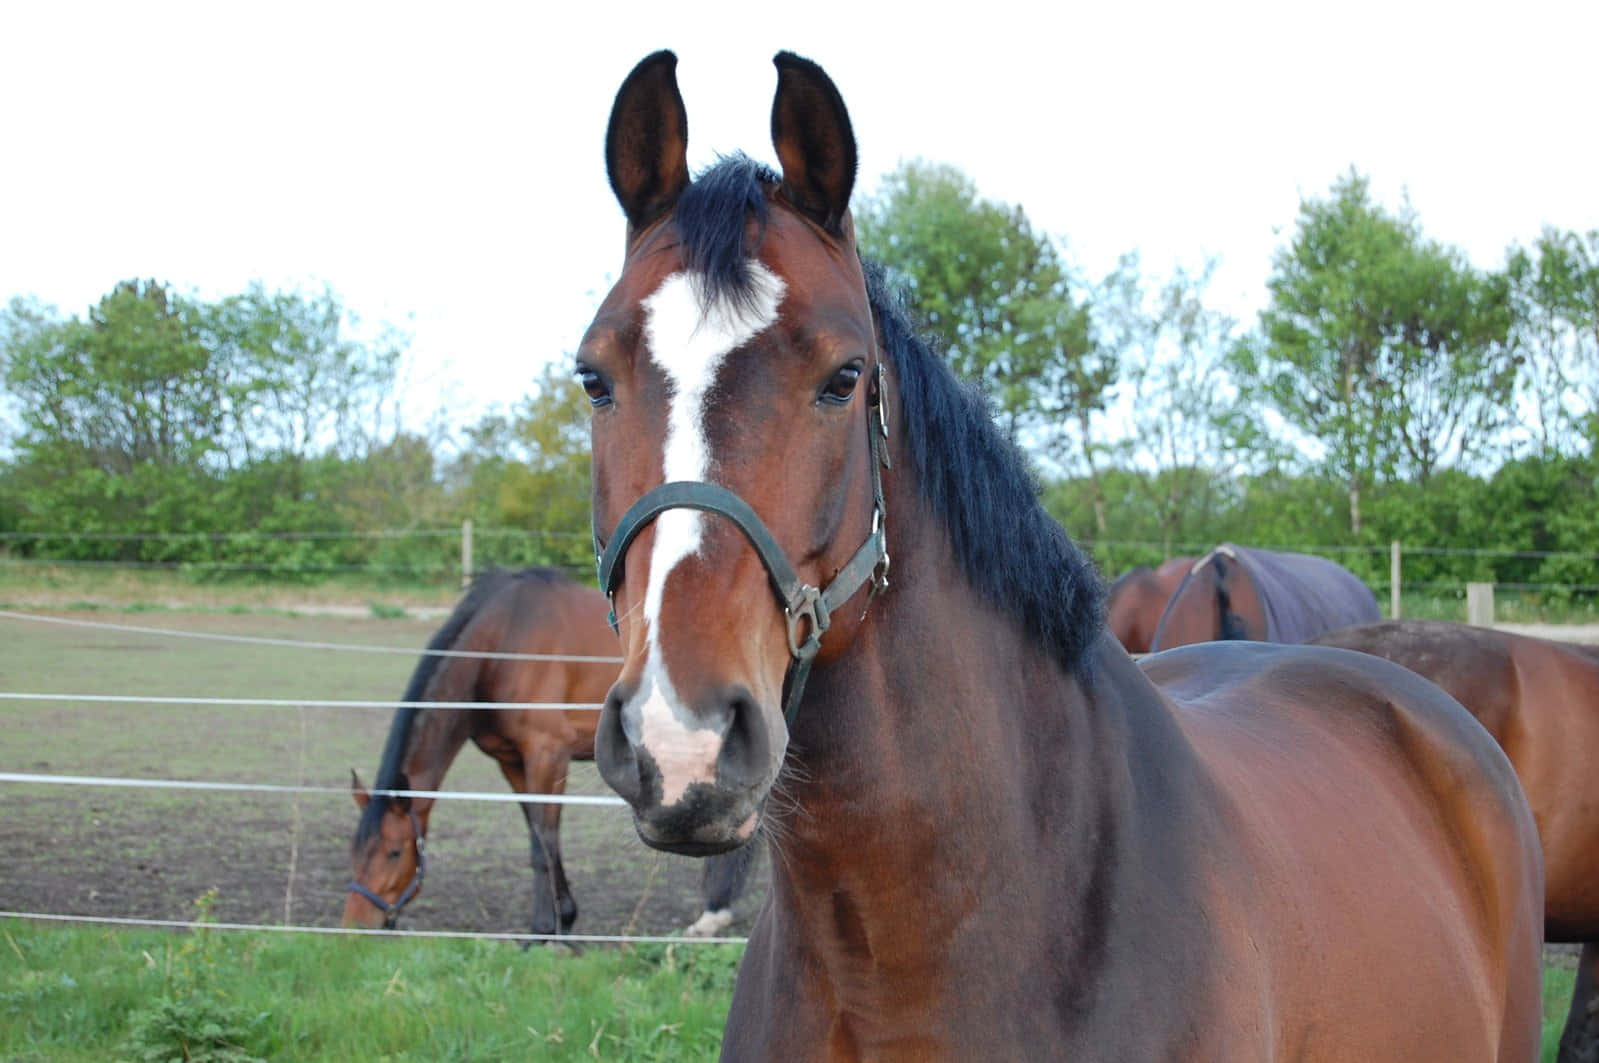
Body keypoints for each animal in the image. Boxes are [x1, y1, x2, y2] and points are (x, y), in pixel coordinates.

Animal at [342, 567, 757, 938]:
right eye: (355, 849)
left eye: (394, 852)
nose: (356, 926)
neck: (502, 643)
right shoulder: (512, 761)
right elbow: (538, 837)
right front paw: (563, 920)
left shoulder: (548, 755)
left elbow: (545, 839)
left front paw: (543, 928)